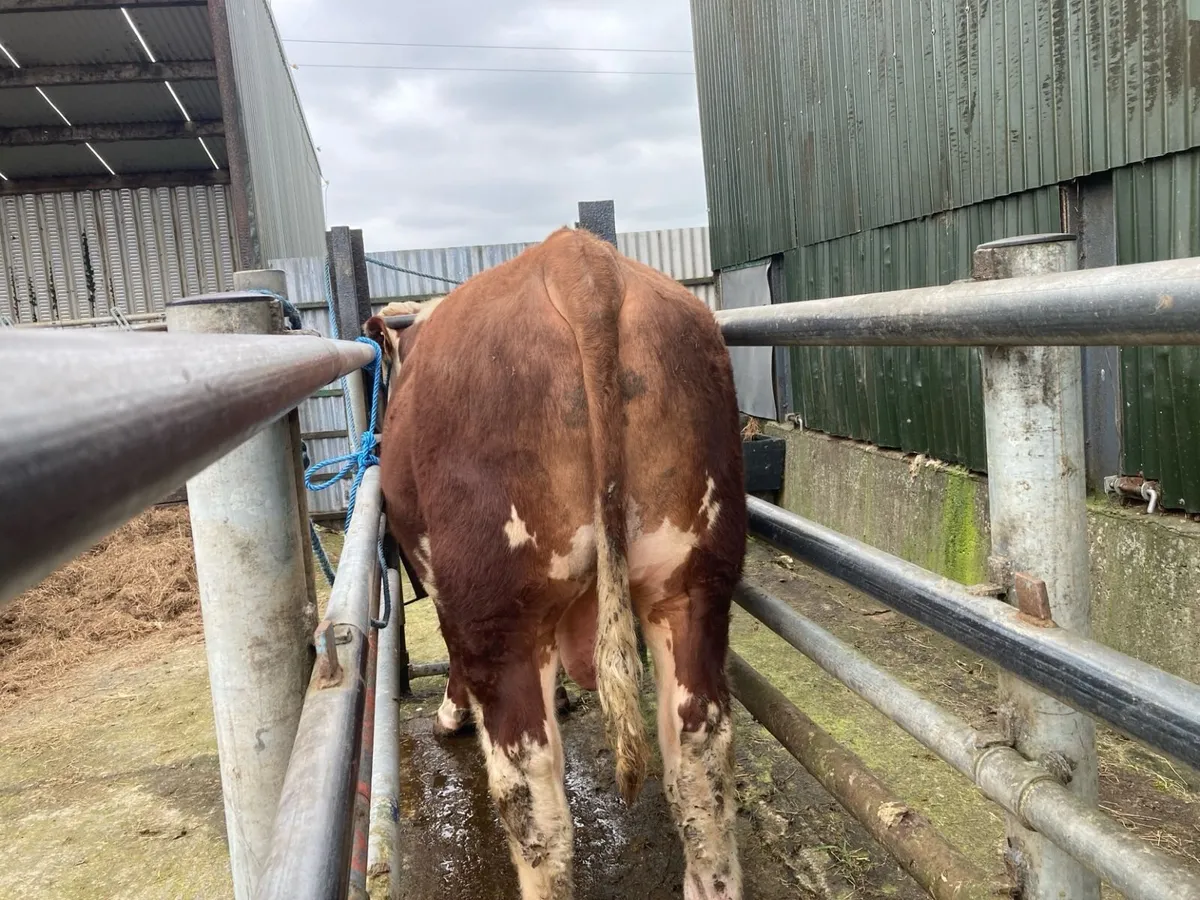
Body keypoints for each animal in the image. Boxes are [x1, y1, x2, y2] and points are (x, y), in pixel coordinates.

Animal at [364, 227, 747, 900]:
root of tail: (577, 261)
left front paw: (452, 714)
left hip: (498, 611)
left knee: (533, 791)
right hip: (693, 582)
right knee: (701, 751)